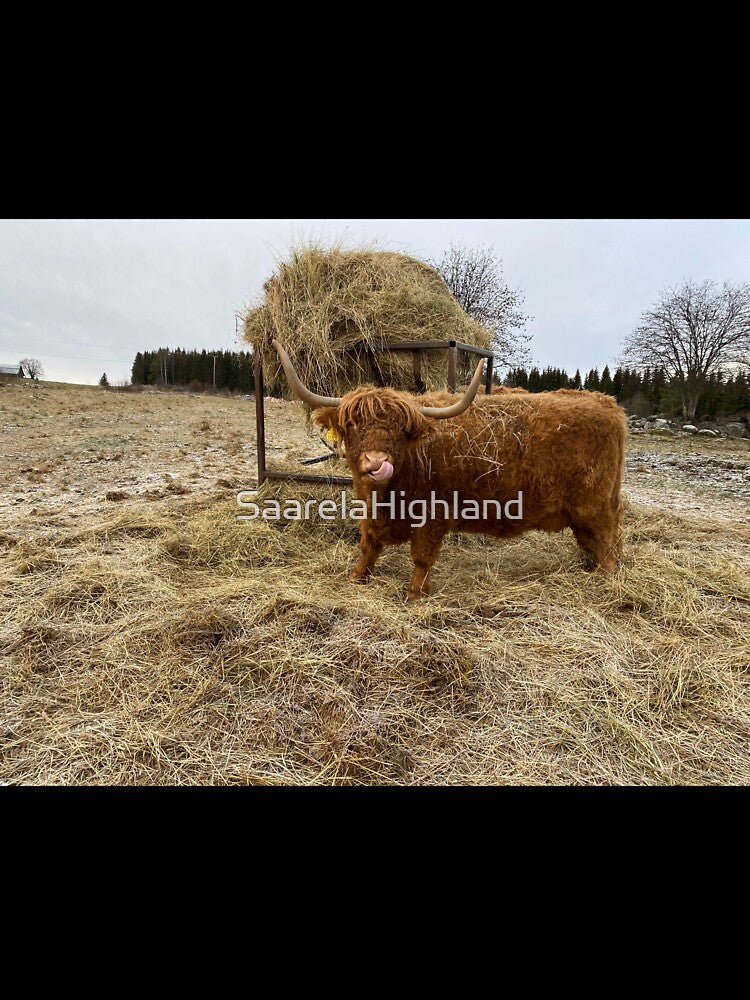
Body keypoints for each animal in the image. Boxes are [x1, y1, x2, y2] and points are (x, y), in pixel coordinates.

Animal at [272, 340, 627, 601]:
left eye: (400, 430)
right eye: (351, 425)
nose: (376, 463)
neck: (387, 495)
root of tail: (608, 405)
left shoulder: (432, 516)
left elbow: (421, 556)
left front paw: (415, 593)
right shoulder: (371, 511)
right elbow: (369, 544)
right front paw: (357, 575)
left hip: (595, 504)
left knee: (607, 539)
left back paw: (605, 580)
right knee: (591, 541)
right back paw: (588, 568)